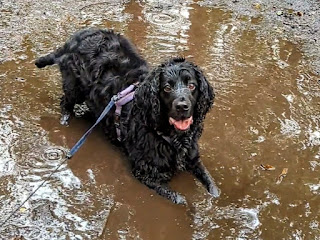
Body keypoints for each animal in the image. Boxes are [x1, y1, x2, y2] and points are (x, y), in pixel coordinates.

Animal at [35, 28, 220, 204]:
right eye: (167, 88)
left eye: (192, 86)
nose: (182, 107)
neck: (172, 136)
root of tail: (73, 39)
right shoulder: (145, 173)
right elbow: (180, 199)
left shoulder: (192, 157)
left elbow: (211, 183)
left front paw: (214, 196)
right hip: (75, 87)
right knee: (66, 101)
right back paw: (65, 119)